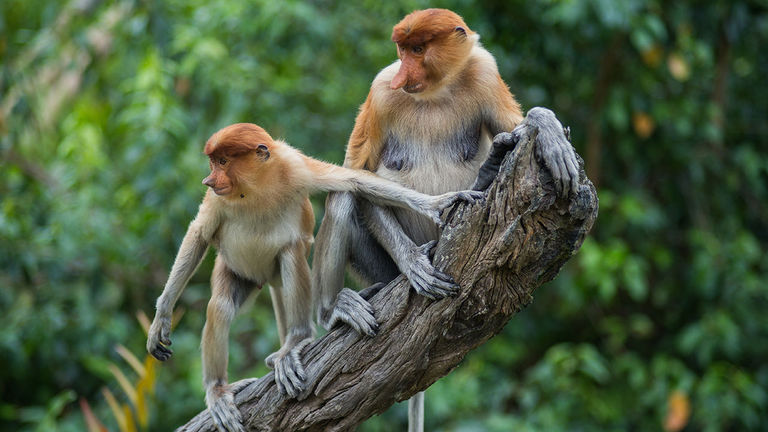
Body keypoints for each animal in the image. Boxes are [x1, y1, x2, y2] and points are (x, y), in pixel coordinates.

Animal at [146, 122, 476, 432]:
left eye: (223, 161)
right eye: (213, 163)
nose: (209, 181)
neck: (255, 184)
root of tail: (266, 276)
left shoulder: (295, 167)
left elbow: (353, 180)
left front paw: (438, 202)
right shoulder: (218, 200)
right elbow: (199, 234)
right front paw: (161, 319)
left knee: (293, 249)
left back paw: (301, 336)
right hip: (236, 269)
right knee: (221, 306)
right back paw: (218, 390)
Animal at [310, 7, 576, 432]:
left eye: (418, 49)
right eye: (402, 51)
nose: (403, 75)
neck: (436, 91)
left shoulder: (484, 70)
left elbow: (514, 124)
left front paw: (548, 130)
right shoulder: (380, 91)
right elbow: (358, 174)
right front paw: (415, 265)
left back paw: (490, 169)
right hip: (379, 270)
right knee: (343, 197)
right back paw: (337, 308)